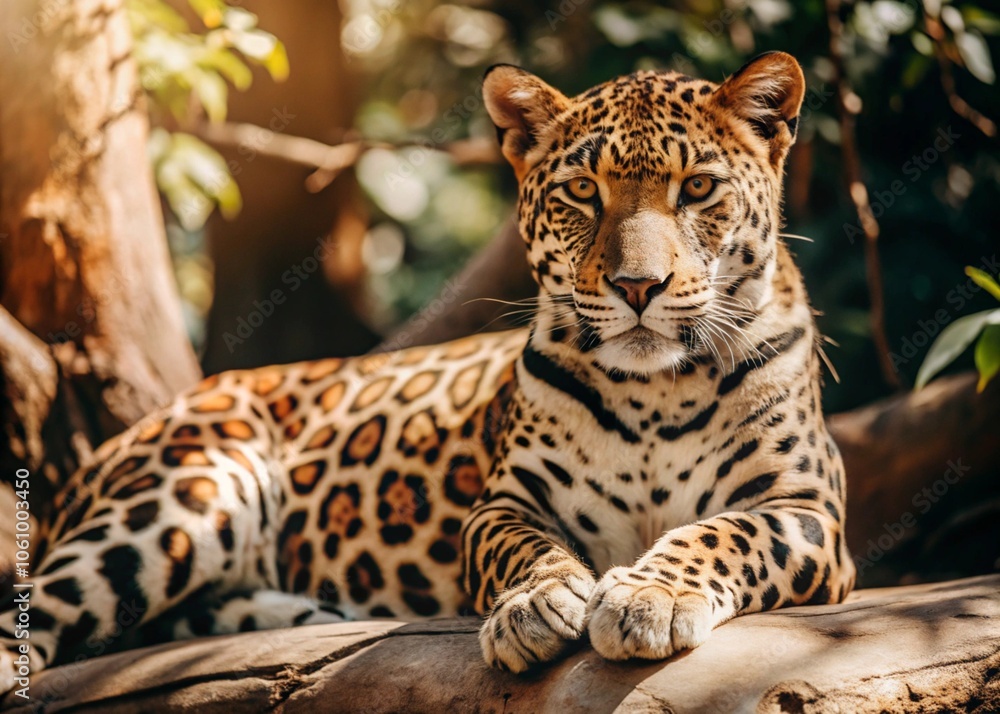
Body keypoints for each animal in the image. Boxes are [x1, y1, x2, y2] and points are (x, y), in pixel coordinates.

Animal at [1, 51, 855, 695]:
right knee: (41, 605)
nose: (637, 286)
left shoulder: (804, 509)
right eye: (583, 191)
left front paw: (652, 593)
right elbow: (521, 547)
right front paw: (535, 605)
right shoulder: (504, 503)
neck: (655, 391)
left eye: (699, 188)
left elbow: (725, 532)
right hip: (190, 483)